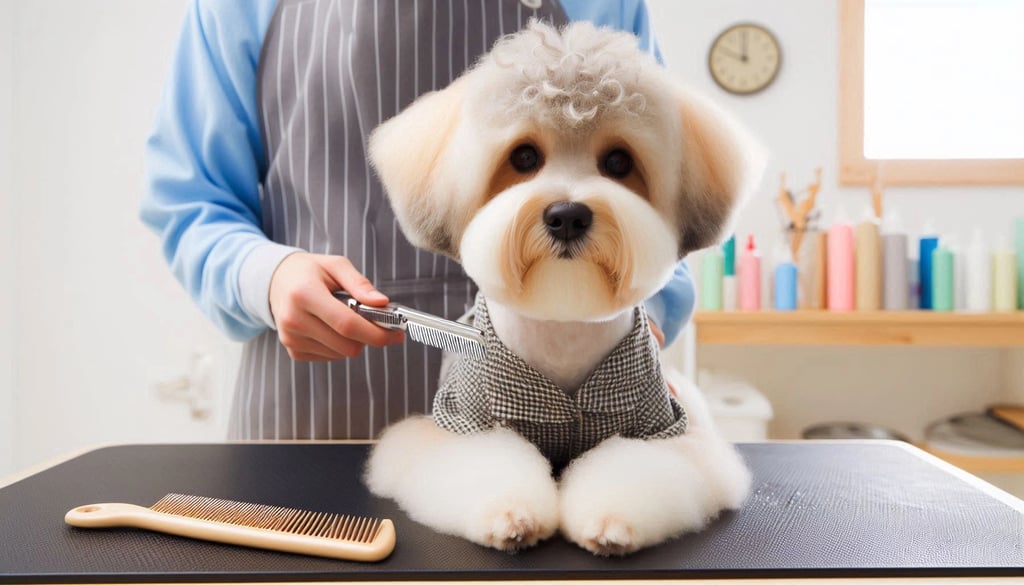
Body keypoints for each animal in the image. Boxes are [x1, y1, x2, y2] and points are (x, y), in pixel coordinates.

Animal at [360, 19, 761, 557]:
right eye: (524, 156)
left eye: (619, 162)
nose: (567, 215)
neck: (563, 326)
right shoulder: (461, 424)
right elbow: (487, 463)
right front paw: (512, 517)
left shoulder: (664, 431)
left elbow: (633, 466)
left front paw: (611, 522)